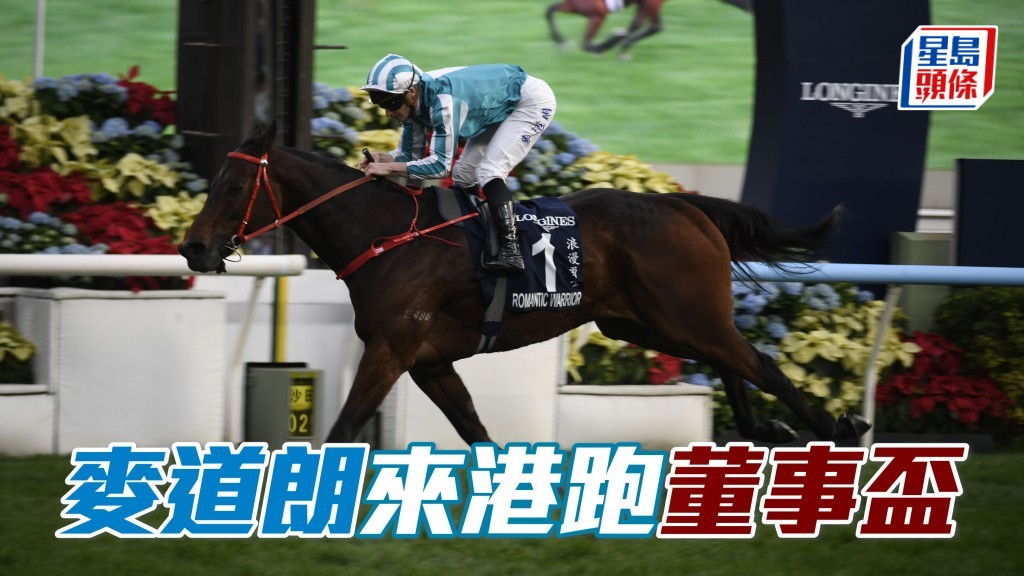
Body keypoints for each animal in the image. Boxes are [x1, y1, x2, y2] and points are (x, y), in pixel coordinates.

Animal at [179, 123, 870, 447]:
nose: (193, 247)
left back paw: (838, 427)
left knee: (762, 364)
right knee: (734, 363)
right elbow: (475, 432)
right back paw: (770, 429)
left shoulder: (391, 349)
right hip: (644, 321)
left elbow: (346, 431)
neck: (387, 236)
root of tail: (684, 204)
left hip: (684, 314)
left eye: (233, 187)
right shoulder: (429, 361)